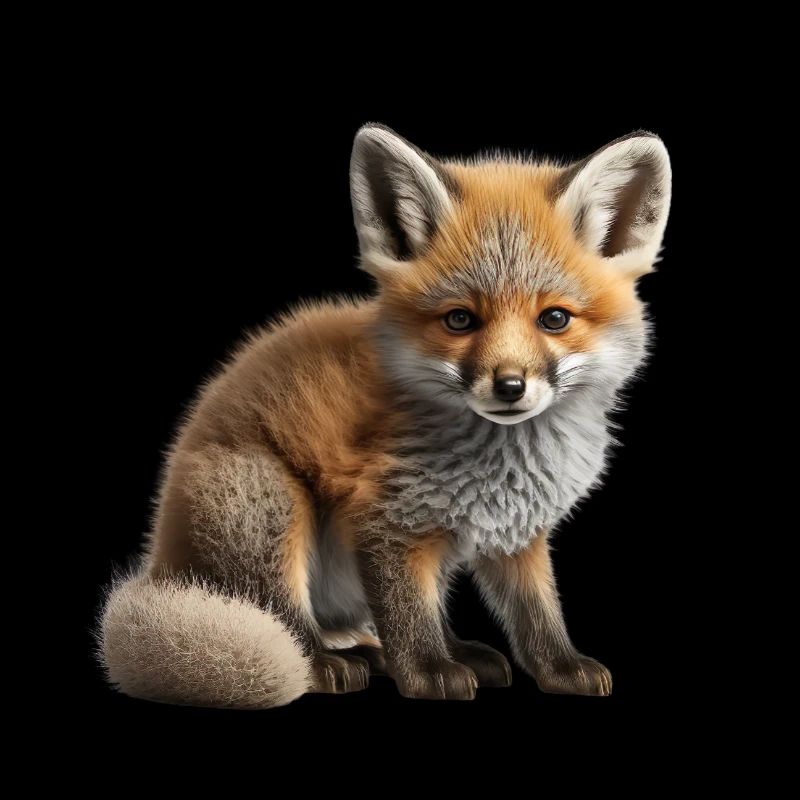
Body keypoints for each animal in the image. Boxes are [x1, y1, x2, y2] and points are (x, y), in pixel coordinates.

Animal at [99, 124, 671, 707]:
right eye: (460, 320)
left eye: (554, 319)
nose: (510, 386)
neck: (504, 465)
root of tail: (160, 563)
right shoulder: (385, 519)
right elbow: (407, 618)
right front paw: (428, 674)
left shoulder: (516, 533)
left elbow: (537, 614)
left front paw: (558, 668)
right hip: (271, 505)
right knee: (285, 619)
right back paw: (327, 663)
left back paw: (431, 653)